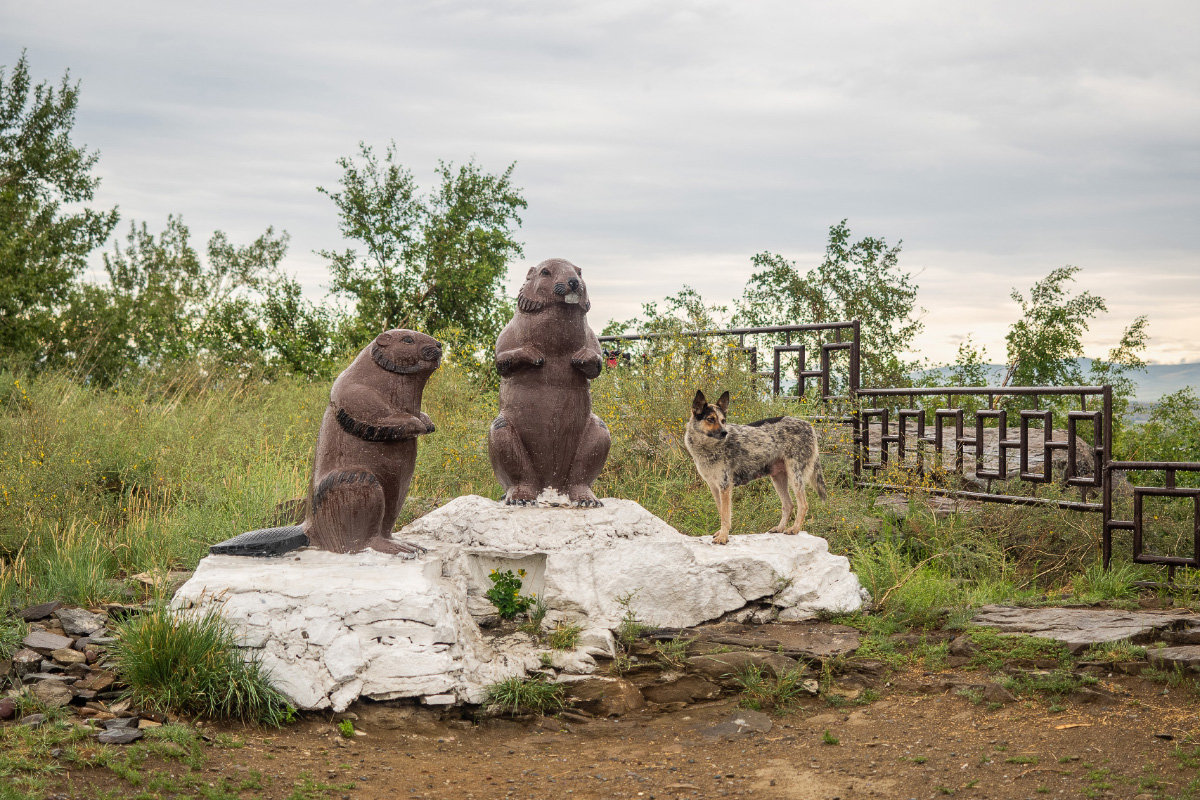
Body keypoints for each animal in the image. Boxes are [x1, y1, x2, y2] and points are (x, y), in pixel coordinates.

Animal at [686, 388, 825, 544]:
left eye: (723, 421)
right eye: (710, 419)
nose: (724, 433)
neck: (708, 448)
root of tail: (809, 426)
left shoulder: (725, 486)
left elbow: (726, 516)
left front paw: (723, 537)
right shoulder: (715, 487)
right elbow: (721, 512)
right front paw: (721, 533)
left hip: (795, 477)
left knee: (803, 505)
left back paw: (794, 529)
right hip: (778, 479)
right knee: (789, 505)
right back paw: (780, 528)